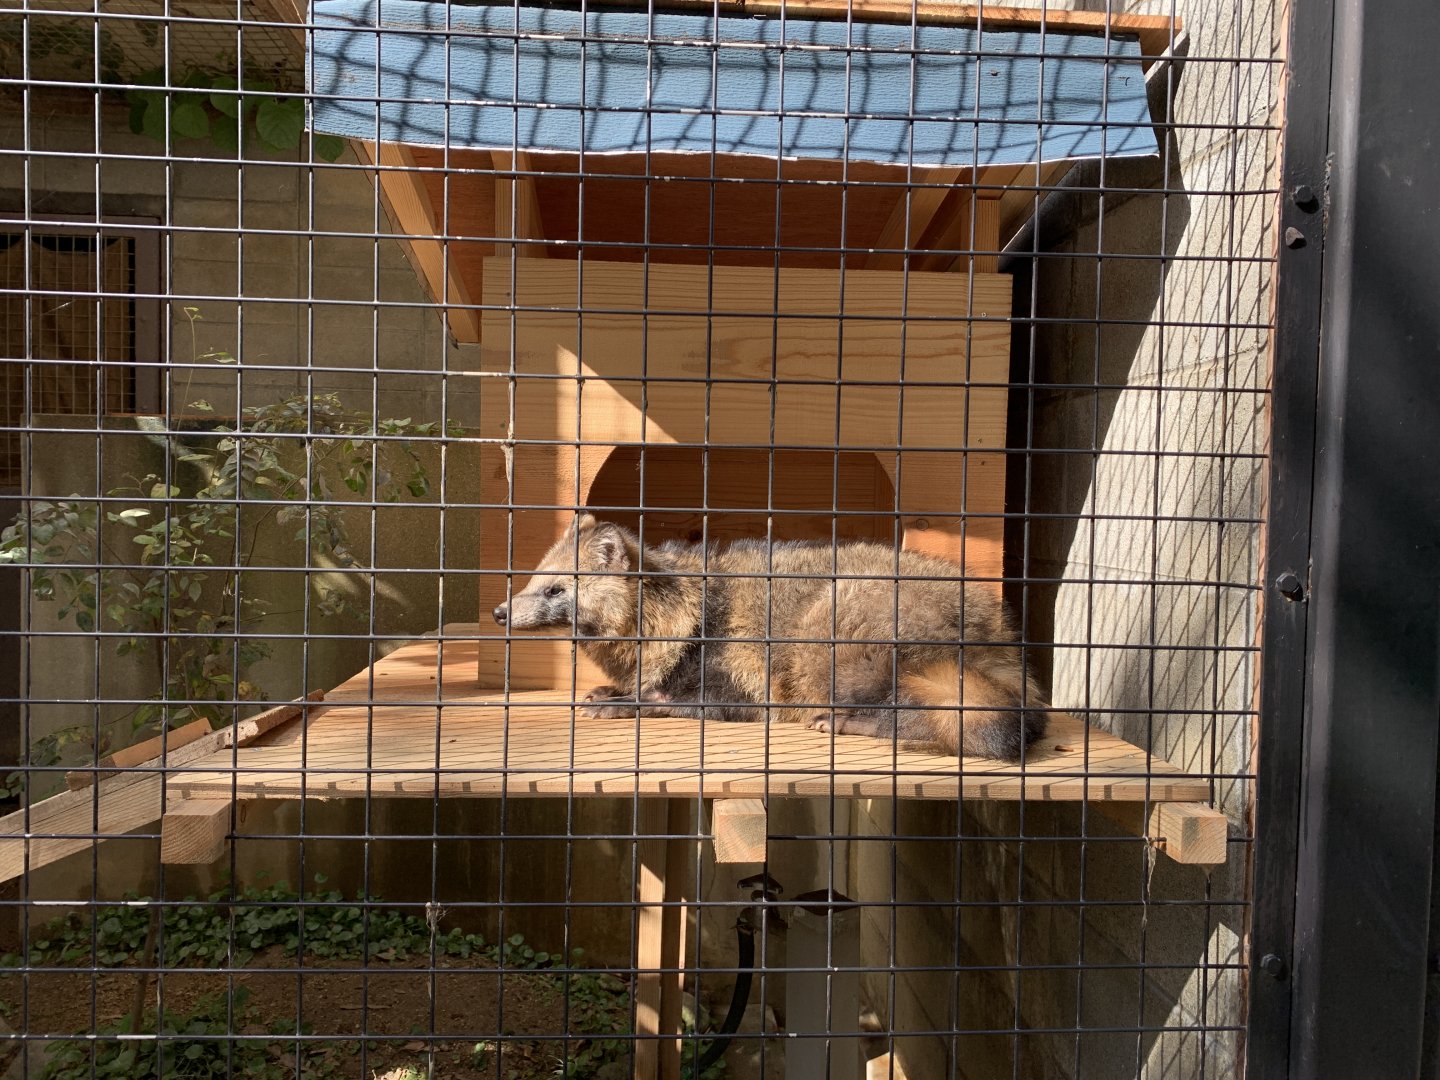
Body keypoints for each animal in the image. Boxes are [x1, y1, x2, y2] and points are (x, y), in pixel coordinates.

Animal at [492, 514, 1050, 761]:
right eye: (532, 581)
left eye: (556, 588)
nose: (499, 611)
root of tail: (1000, 638)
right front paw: (613, 691)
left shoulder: (740, 686)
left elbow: (671, 699)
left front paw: (626, 702)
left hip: (828, 636)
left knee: (921, 718)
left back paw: (850, 722)